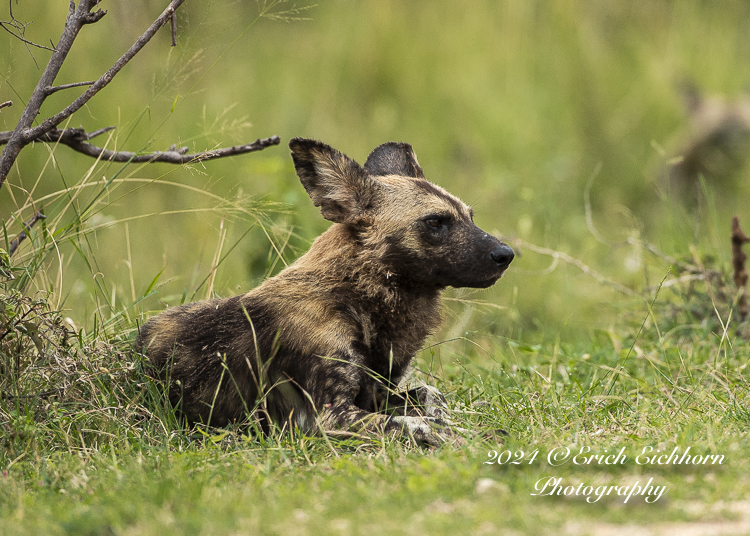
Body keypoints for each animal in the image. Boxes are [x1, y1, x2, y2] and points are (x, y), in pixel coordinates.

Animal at [135, 137, 516, 444]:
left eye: (470, 217)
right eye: (435, 222)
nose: (506, 254)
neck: (357, 297)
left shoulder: (375, 393)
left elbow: (432, 398)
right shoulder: (326, 418)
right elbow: (417, 424)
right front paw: (466, 437)